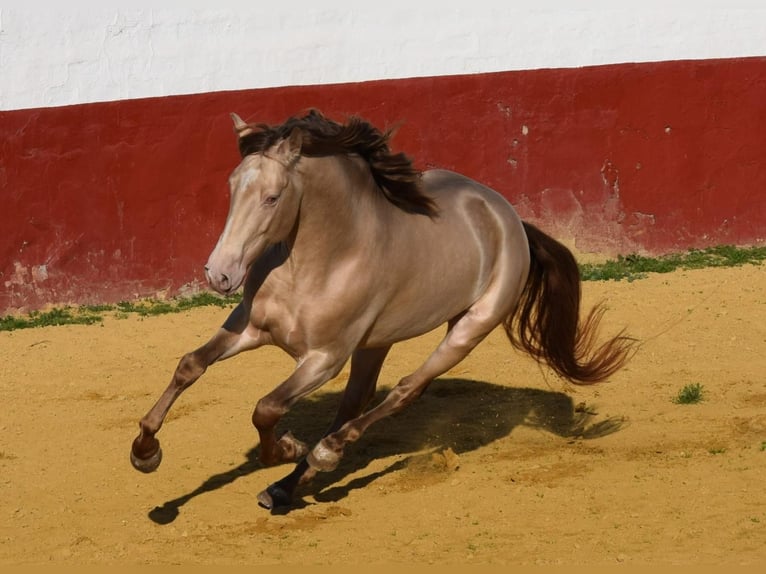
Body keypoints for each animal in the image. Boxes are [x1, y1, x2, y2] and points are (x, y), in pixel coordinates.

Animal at [132, 110, 636, 510]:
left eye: (273, 197)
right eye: (232, 186)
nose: (219, 274)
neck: (319, 261)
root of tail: (508, 218)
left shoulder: (324, 358)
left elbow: (266, 408)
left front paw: (289, 448)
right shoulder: (249, 327)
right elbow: (190, 365)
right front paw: (145, 452)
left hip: (468, 329)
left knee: (404, 392)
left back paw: (323, 454)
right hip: (376, 342)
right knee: (356, 402)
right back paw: (284, 488)